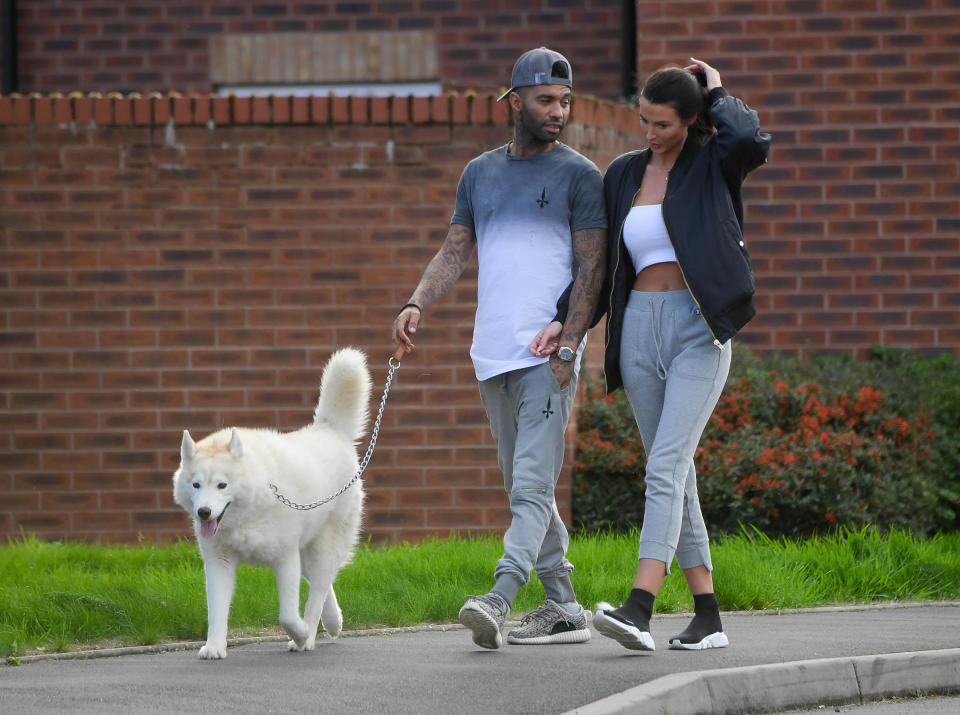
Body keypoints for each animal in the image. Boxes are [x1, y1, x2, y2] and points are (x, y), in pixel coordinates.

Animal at [171, 346, 370, 660]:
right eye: (196, 485)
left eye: (222, 485)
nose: (203, 513)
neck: (249, 511)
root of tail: (331, 431)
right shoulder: (219, 563)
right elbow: (216, 612)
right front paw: (214, 647)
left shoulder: (285, 558)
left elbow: (287, 615)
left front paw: (300, 633)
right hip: (308, 551)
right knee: (323, 582)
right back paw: (334, 622)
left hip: (322, 546)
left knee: (318, 589)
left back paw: (309, 636)